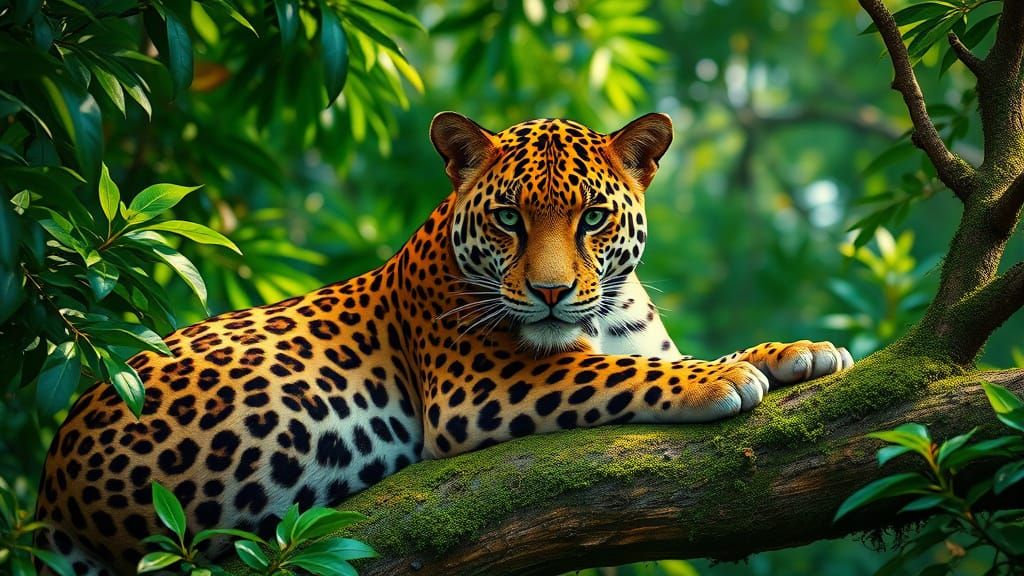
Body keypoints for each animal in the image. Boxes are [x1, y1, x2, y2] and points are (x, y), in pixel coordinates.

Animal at [35, 112, 853, 574]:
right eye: (509, 219)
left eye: (592, 218)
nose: (551, 292)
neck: (606, 313)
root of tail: (49, 496)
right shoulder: (481, 388)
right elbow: (622, 374)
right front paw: (723, 377)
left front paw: (800, 350)